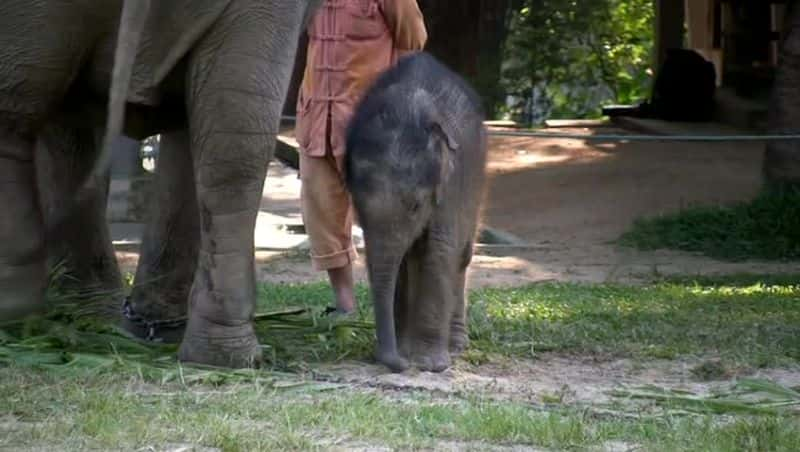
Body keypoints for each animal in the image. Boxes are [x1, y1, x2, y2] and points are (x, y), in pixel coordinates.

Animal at [346, 51, 488, 372]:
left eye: (416, 206)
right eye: (357, 206)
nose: (397, 363)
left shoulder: (452, 186)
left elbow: (441, 250)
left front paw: (430, 365)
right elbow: (400, 262)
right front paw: (408, 353)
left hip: (477, 181)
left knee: (461, 256)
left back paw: (456, 345)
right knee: (414, 258)